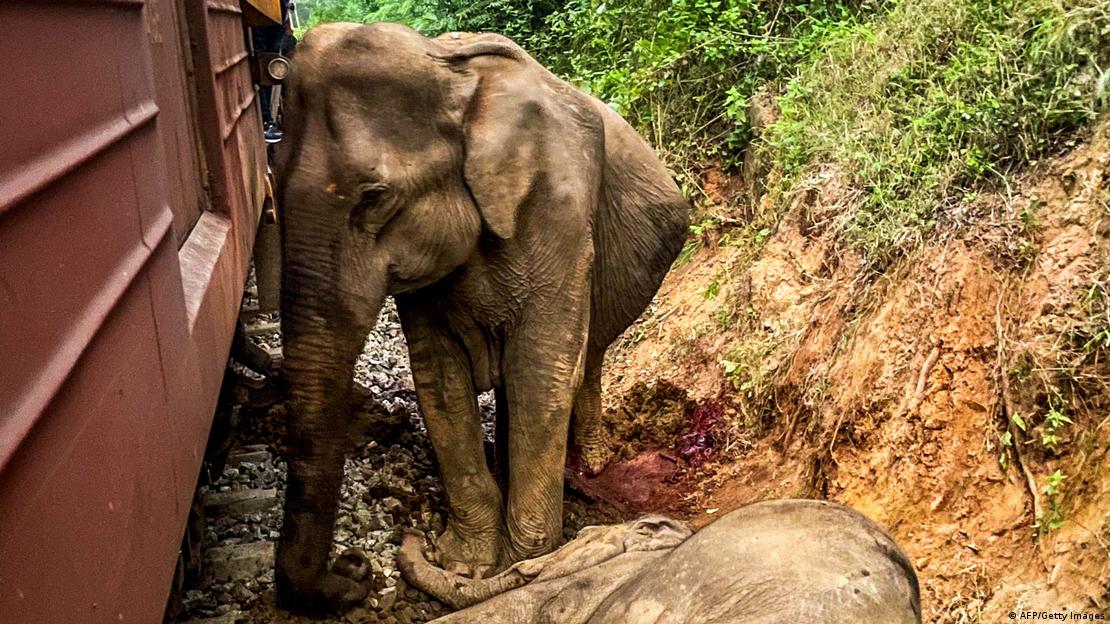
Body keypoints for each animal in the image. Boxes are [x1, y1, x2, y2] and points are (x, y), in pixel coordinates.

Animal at [272, 22, 690, 612]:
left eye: (375, 198)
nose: (353, 569)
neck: (453, 76)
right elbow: (438, 377)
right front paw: (467, 563)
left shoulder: (559, 211)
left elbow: (541, 368)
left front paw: (523, 560)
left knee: (583, 359)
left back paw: (588, 462)